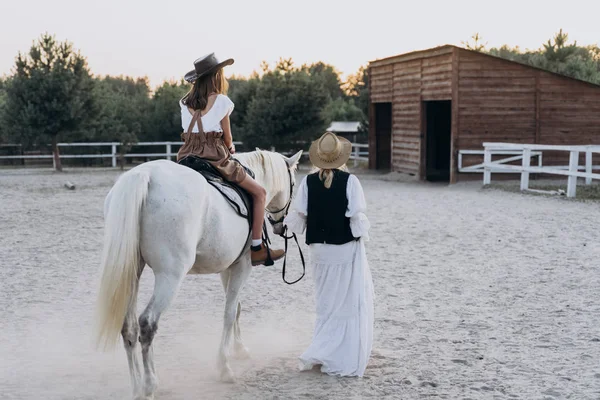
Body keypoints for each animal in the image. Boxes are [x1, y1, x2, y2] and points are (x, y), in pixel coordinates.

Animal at [96, 151, 302, 400]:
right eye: (293, 184)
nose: (281, 226)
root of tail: (144, 174)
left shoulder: (227, 268)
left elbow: (237, 308)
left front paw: (239, 349)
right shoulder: (242, 266)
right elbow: (229, 313)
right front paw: (224, 368)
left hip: (133, 273)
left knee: (130, 327)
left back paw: (136, 387)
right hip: (170, 276)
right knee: (148, 323)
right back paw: (149, 386)